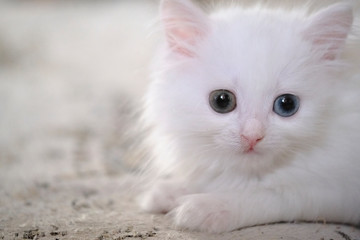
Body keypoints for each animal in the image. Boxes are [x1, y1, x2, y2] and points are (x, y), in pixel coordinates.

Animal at [139, 0, 360, 232]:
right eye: (222, 100)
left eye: (287, 104)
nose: (253, 136)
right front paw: (169, 191)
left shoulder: (335, 192)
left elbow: (270, 194)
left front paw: (206, 207)